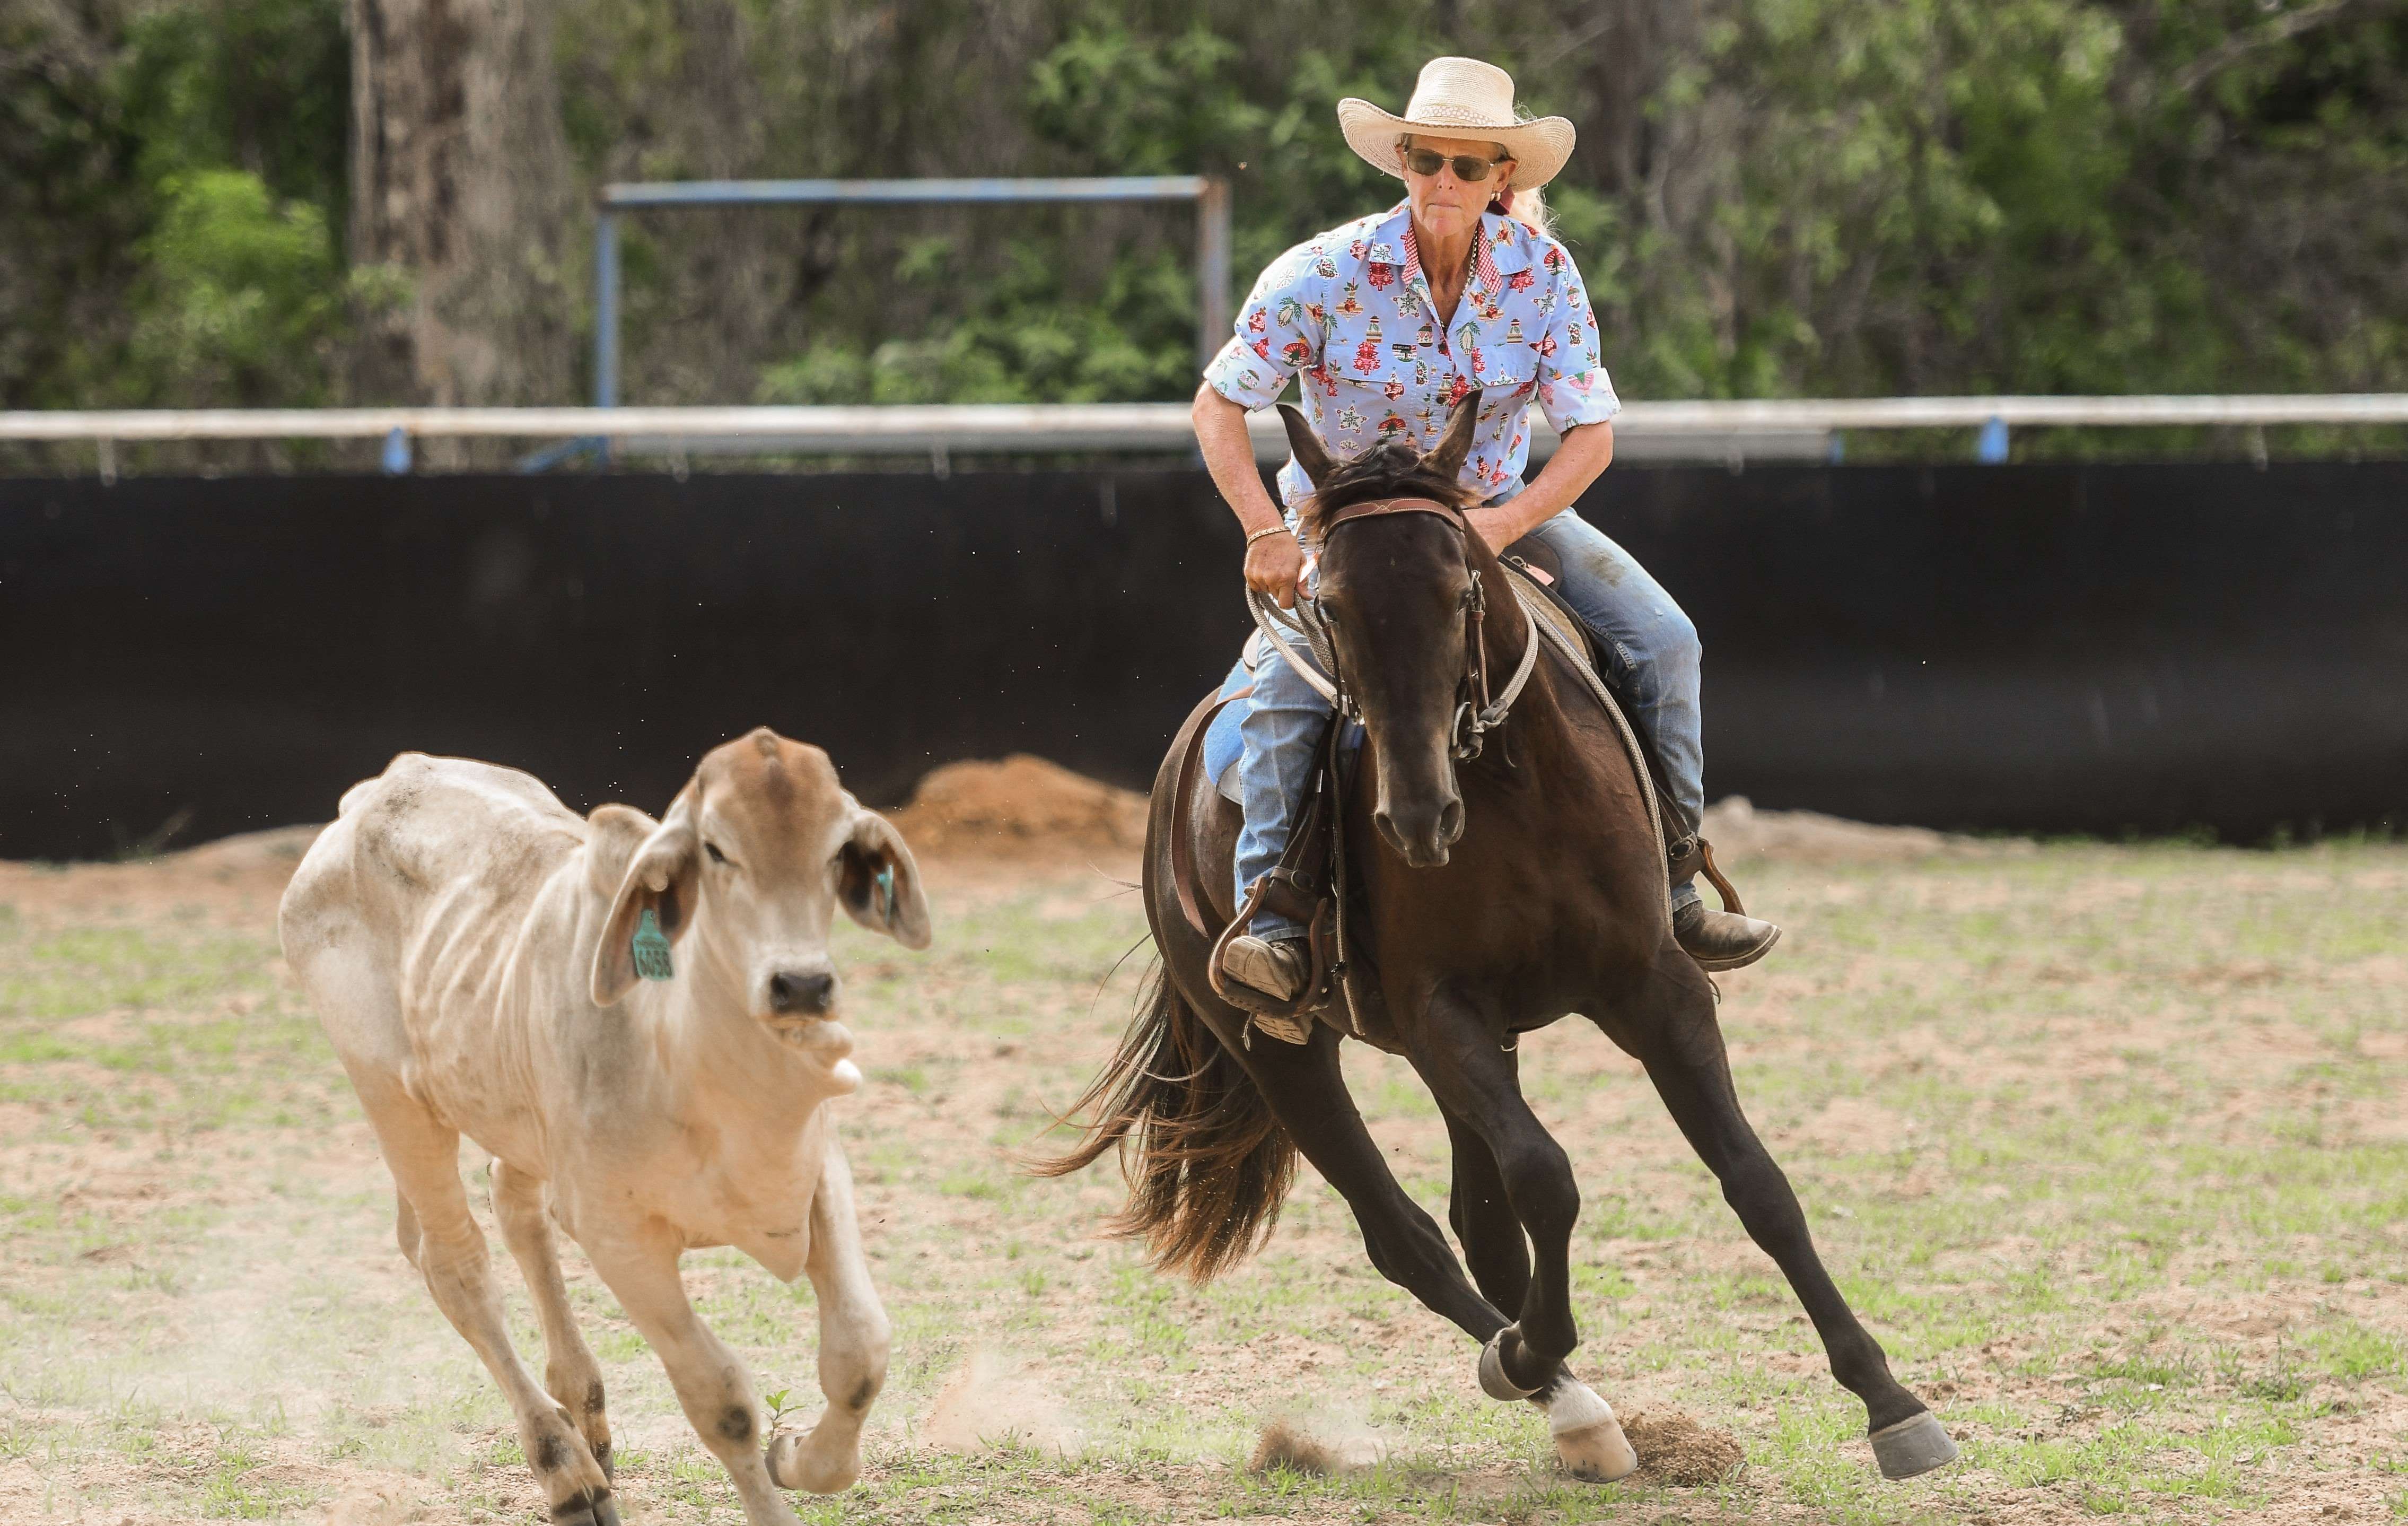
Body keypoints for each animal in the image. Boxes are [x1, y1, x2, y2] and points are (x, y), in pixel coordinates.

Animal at [278, 728, 932, 1526]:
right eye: (715, 849)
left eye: (839, 848)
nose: (802, 984)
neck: (697, 1066)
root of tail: (369, 795)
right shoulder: (620, 1240)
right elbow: (722, 1402)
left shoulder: (817, 1180)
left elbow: (860, 1354)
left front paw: (797, 1455)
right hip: (393, 1100)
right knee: (454, 1263)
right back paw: (567, 1472)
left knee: (513, 1209)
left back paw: (587, 1418)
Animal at [1039, 393, 1958, 1483]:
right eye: (1331, 604)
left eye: (1458, 590)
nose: (1416, 814)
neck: (1516, 789)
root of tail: (1175, 777)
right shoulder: (1443, 1010)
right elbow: (1547, 1181)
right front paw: (1527, 1352)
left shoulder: (1655, 987)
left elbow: (1756, 1182)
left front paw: (1892, 1403)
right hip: (1282, 1050)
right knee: (1408, 1236)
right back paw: (1560, 1393)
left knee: (1477, 1223)